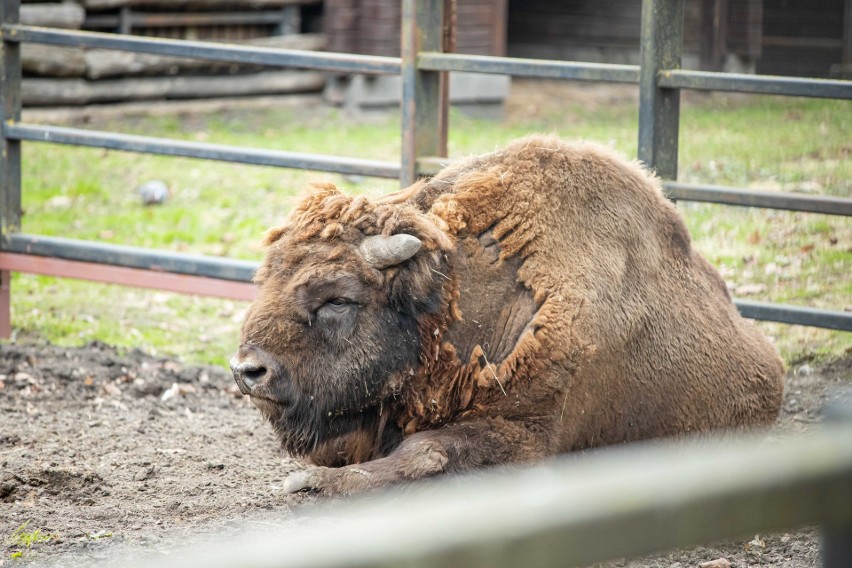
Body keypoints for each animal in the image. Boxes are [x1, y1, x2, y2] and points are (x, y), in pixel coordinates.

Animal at [228, 135, 784, 494]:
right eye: (266, 280)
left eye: (338, 299)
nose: (248, 370)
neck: (453, 307)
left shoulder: (528, 435)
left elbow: (426, 451)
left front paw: (312, 484)